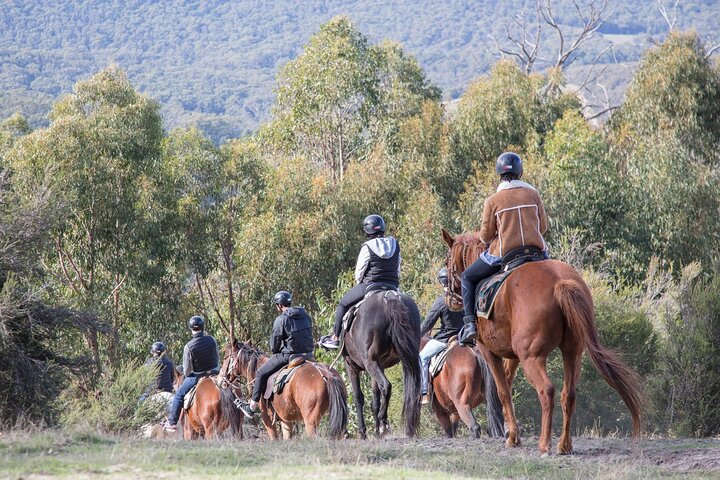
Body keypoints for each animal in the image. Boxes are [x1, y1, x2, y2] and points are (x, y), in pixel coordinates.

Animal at [344, 288, 422, 438]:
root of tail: (390, 297)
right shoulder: (380, 365)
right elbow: (375, 399)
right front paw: (376, 431)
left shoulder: (351, 367)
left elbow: (358, 398)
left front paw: (363, 432)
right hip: (406, 359)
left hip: (370, 362)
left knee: (386, 386)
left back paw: (384, 421)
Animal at [442, 231, 644, 456]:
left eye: (447, 261)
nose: (450, 299)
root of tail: (559, 282)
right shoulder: (513, 357)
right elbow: (508, 386)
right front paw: (511, 432)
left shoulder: (489, 353)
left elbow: (502, 391)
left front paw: (512, 437)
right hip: (572, 353)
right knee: (568, 394)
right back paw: (564, 445)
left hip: (532, 358)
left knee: (547, 391)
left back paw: (544, 443)